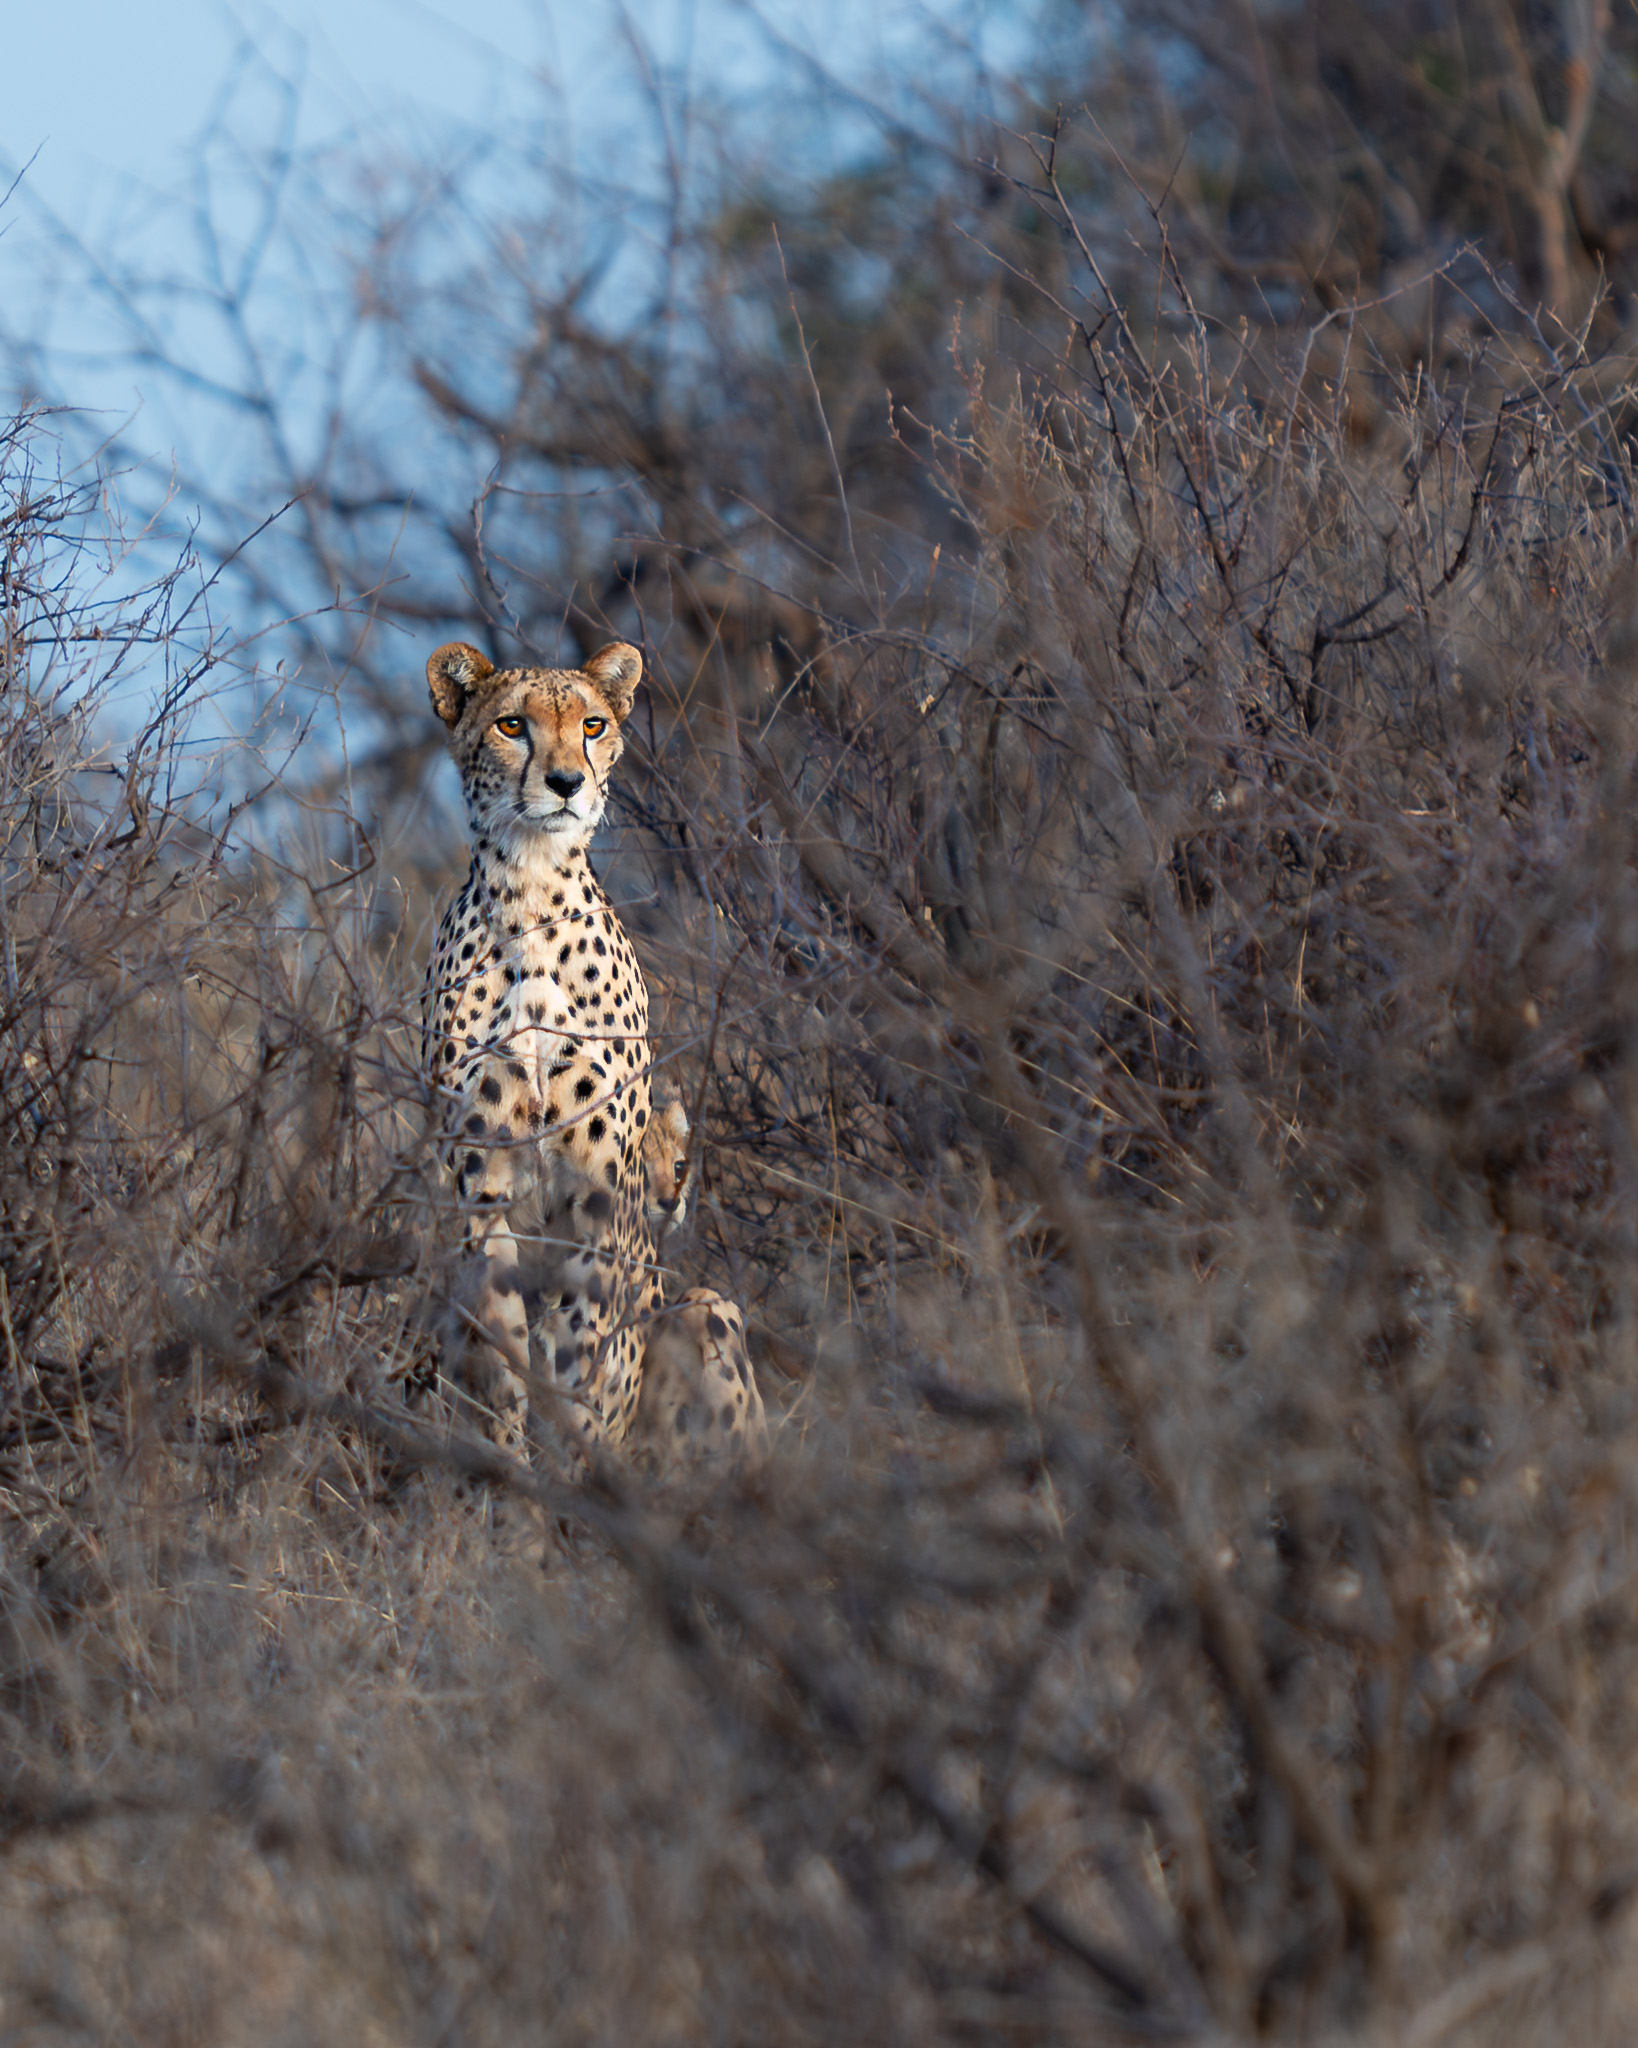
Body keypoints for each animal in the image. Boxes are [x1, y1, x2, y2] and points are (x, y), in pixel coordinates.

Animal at [421, 637, 661, 1455]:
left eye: (591, 724)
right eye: (512, 726)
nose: (565, 783)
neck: (530, 891)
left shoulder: (598, 1194)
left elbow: (582, 1354)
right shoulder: (480, 1181)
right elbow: (505, 1356)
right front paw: (510, 1474)